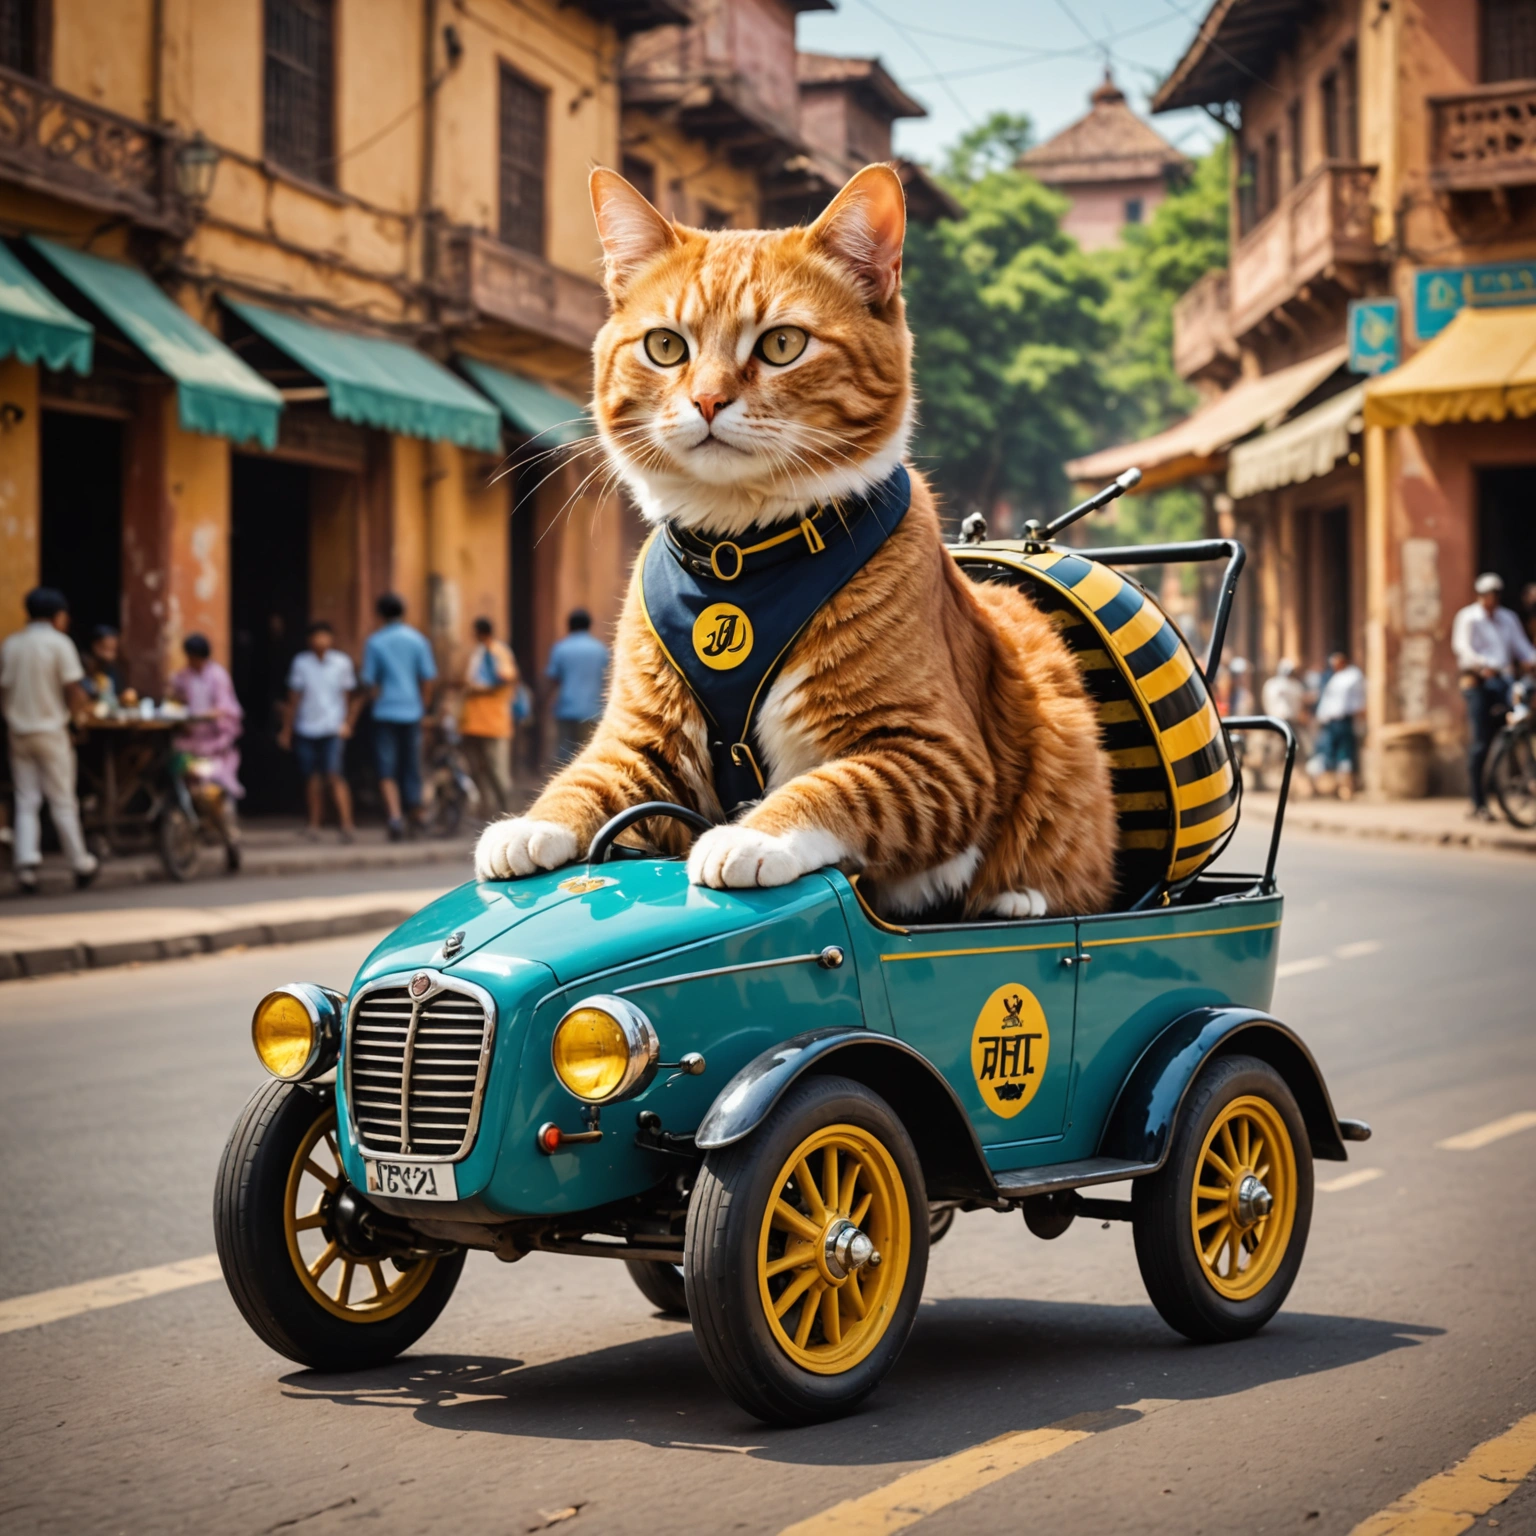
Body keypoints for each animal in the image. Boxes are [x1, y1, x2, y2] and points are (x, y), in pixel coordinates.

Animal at [470, 162, 1118, 915]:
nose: (708, 400)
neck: (739, 559)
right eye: (665, 346)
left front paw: (754, 835)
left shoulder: (938, 755)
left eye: (782, 344)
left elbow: (838, 785)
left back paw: (1019, 900)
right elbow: (586, 778)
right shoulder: (642, 739)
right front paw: (530, 824)